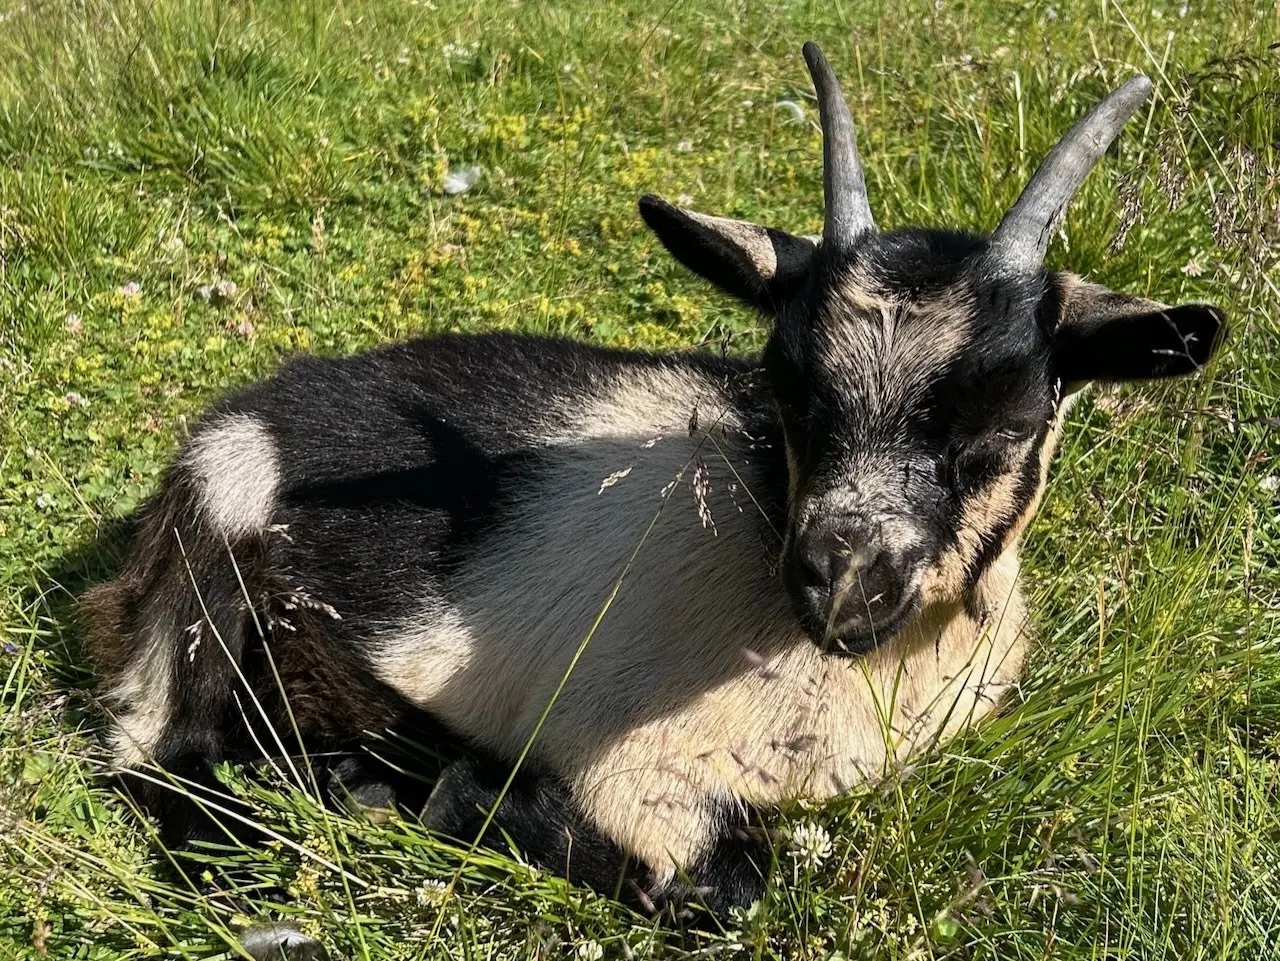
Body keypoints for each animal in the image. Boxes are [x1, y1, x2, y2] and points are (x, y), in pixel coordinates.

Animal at [81, 43, 1225, 919]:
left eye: (1012, 418)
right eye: (785, 381)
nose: (840, 580)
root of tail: (253, 408)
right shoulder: (636, 768)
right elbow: (726, 889)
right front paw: (479, 792)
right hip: (215, 564)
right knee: (161, 754)